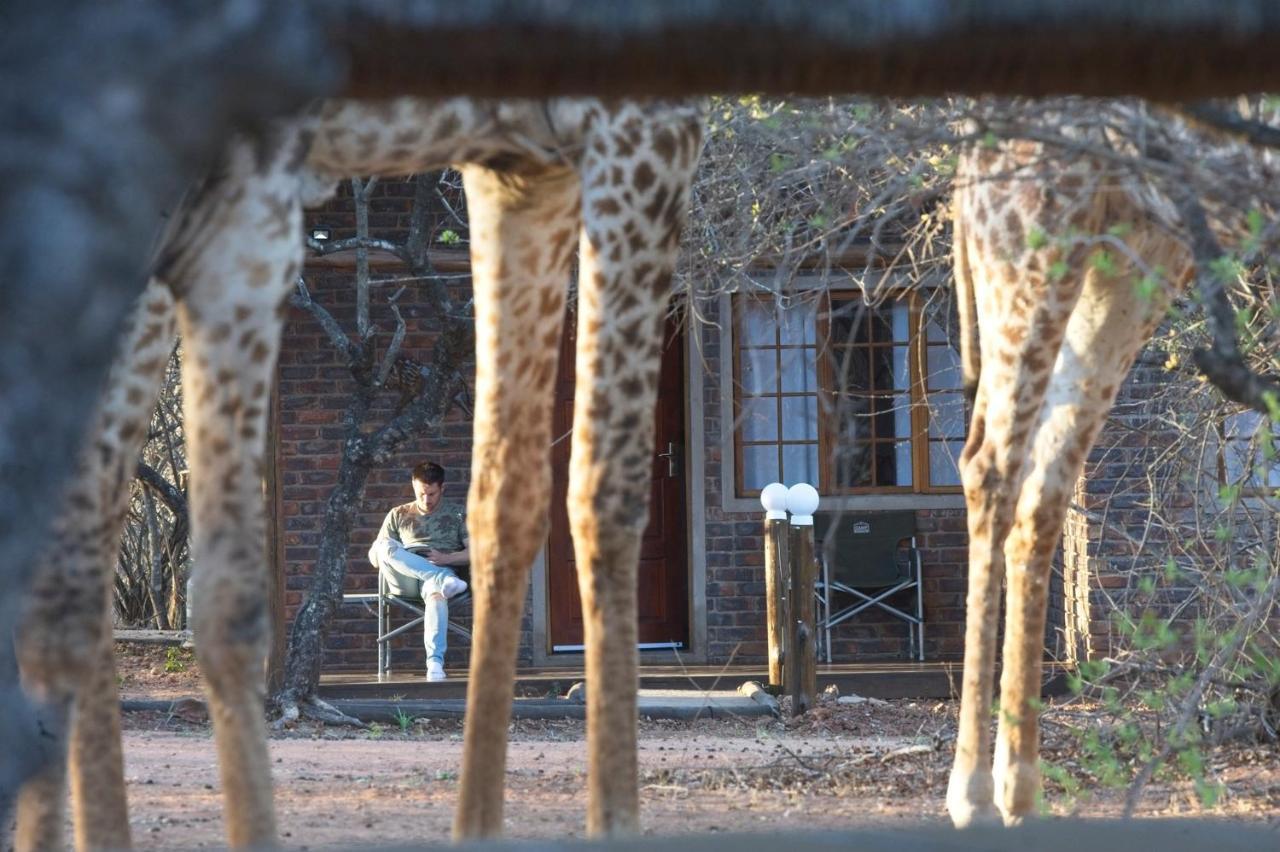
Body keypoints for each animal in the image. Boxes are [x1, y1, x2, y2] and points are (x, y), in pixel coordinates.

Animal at [942, 136, 1198, 823]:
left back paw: (1020, 794)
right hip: (1039, 240)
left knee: (1041, 481)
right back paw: (974, 796)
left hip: (1136, 256)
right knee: (991, 464)